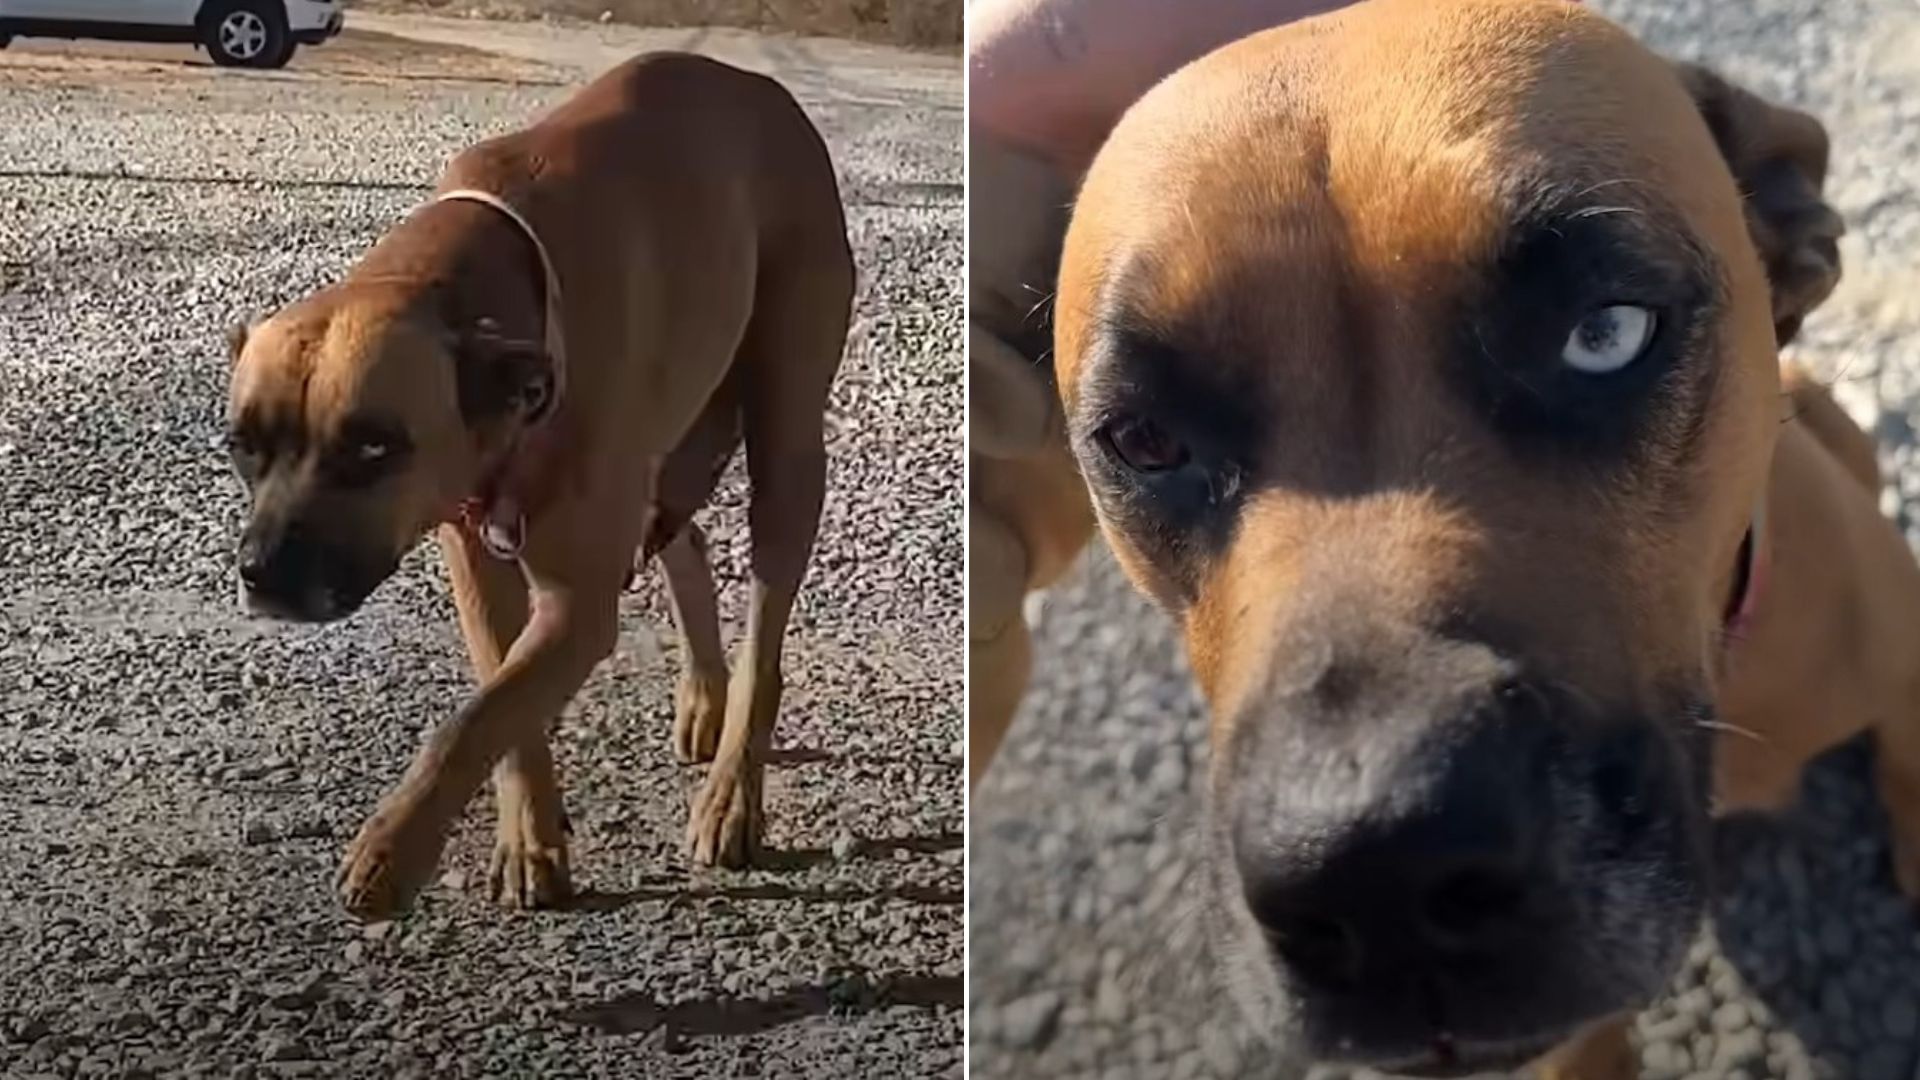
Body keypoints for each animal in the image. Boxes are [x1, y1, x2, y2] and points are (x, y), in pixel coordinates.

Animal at [226, 52, 856, 914]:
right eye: (241, 446)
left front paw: (393, 846)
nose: (264, 575)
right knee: (684, 539)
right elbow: (503, 701)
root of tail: (767, 92)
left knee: (765, 631)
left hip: (785, 444)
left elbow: (469, 721)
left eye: (373, 447)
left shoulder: (578, 606)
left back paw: (732, 793)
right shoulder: (478, 559)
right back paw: (704, 694)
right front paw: (530, 839)